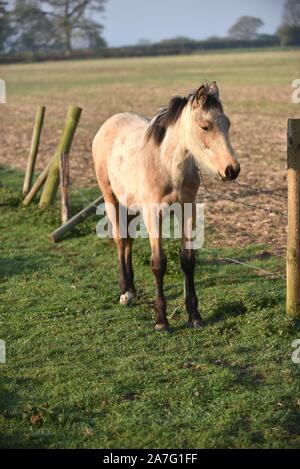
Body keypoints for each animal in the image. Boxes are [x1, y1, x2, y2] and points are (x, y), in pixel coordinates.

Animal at [92, 81, 240, 330]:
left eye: (227, 123)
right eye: (205, 126)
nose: (232, 169)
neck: (167, 164)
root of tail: (109, 123)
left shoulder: (187, 209)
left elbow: (187, 261)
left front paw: (194, 315)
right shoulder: (154, 214)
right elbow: (158, 263)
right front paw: (161, 320)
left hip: (131, 206)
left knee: (129, 240)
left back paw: (132, 289)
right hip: (110, 197)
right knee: (121, 240)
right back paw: (125, 293)